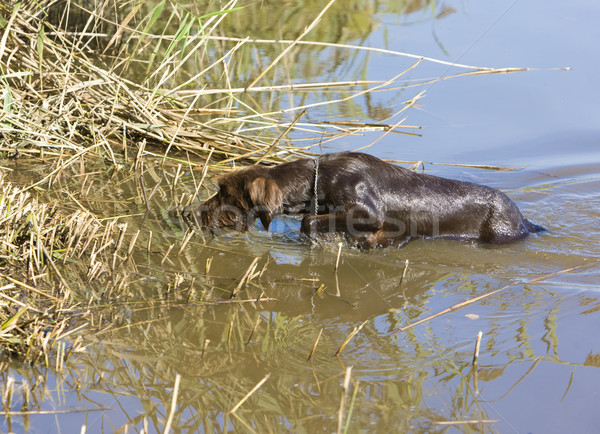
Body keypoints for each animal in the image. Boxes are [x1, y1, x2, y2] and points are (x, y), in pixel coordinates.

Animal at [190, 152, 548, 248]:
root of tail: (524, 220)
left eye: (224, 192)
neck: (318, 181)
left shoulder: (368, 211)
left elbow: (309, 220)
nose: (198, 212)